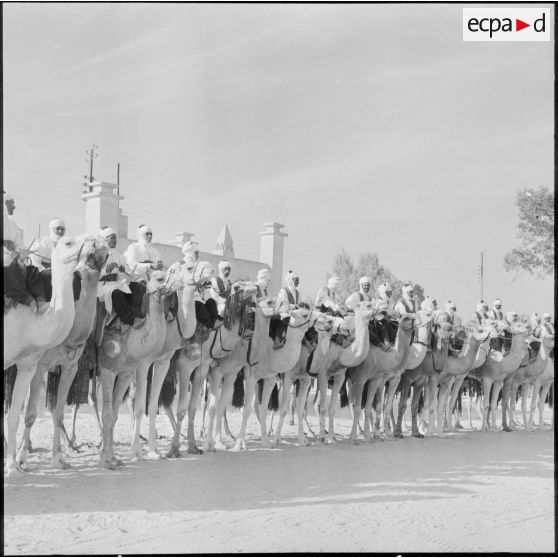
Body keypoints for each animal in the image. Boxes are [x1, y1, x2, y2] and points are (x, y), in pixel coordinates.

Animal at [95, 270, 176, 470]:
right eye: (159, 278)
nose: (174, 280)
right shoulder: (108, 369)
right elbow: (109, 413)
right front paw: (105, 460)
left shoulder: (125, 373)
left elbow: (115, 413)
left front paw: (113, 458)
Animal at [165, 282, 260, 458]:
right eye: (237, 287)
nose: (255, 287)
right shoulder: (187, 367)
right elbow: (185, 409)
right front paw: (175, 449)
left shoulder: (204, 369)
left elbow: (196, 408)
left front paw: (195, 446)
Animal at [316, 304, 376, 444]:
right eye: (366, 305)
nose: (374, 311)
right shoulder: (323, 374)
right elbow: (323, 407)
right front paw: (322, 437)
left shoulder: (340, 375)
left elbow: (332, 408)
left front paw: (331, 438)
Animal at [350, 316, 416, 446]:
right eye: (406, 318)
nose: (414, 321)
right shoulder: (363, 378)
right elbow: (366, 406)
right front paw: (357, 439)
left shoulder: (380, 379)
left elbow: (381, 405)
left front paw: (377, 436)